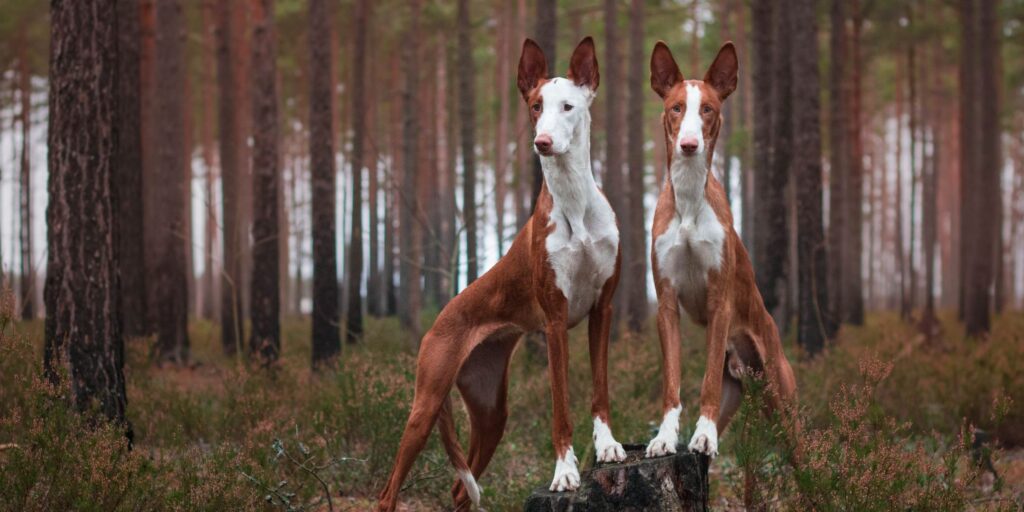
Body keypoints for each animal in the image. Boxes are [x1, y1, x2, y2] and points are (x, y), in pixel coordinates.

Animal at [380, 37, 626, 512]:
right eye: (535, 106)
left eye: (568, 106)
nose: (542, 142)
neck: (575, 203)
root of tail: (436, 325)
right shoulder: (554, 323)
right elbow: (560, 407)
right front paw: (565, 472)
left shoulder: (603, 309)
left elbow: (601, 388)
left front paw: (607, 447)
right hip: (425, 404)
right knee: (388, 493)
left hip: (492, 411)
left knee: (460, 490)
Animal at [638, 41, 798, 462]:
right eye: (677, 107)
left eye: (708, 108)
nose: (689, 145)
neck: (690, 199)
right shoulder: (666, 303)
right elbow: (672, 383)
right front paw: (665, 437)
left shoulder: (720, 301)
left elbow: (706, 378)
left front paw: (704, 435)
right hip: (741, 396)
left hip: (781, 399)